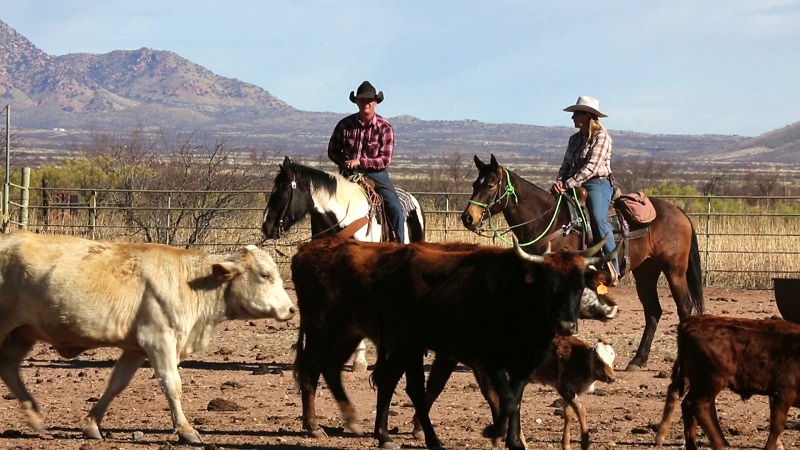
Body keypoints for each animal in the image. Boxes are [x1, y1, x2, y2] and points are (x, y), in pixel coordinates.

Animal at [0, 230, 296, 444]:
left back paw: (35, 416)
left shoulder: (135, 349)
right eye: (265, 275)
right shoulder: (159, 340)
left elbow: (116, 384)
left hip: (22, 334)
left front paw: (92, 425)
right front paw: (186, 430)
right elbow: (172, 385)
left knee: (9, 367)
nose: (292, 309)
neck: (192, 283)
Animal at [460, 155, 704, 370]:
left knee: (684, 306)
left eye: (490, 185)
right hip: (646, 271)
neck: (548, 221)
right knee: (653, 311)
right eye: (474, 183)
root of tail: (678, 211)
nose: (468, 218)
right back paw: (637, 360)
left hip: (674, 270)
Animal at [652, 316, 800, 450]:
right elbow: (777, 424)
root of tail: (689, 322)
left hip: (697, 381)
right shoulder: (783, 393)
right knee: (698, 405)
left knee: (685, 401)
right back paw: (717, 443)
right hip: (712, 382)